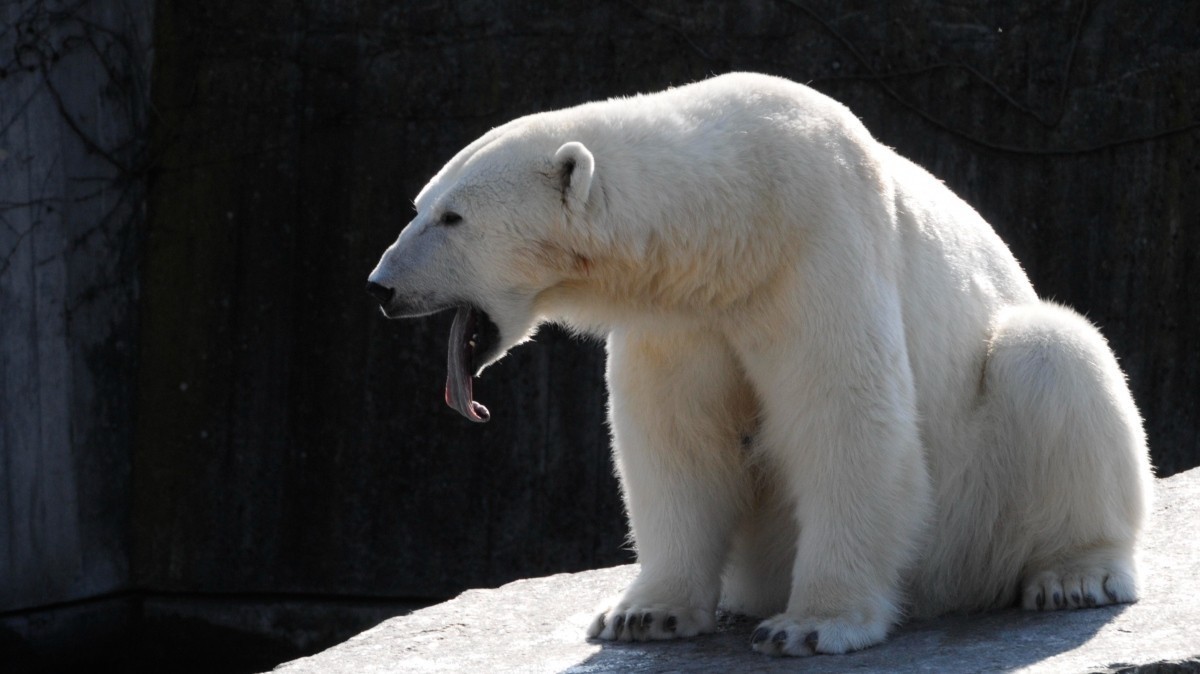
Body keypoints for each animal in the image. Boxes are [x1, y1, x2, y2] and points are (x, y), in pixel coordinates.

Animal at [364, 73, 1152, 657]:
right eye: (420, 205)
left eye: (452, 218)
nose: (381, 287)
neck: (733, 219)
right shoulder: (681, 316)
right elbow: (678, 443)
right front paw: (644, 614)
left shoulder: (818, 246)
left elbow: (848, 418)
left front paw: (811, 625)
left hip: (976, 504)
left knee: (1054, 353)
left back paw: (1074, 574)